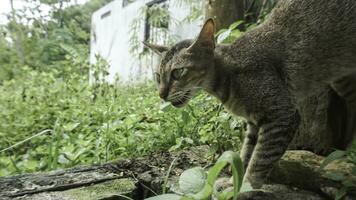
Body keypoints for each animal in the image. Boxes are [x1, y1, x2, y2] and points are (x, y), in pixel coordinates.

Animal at [143, 0, 356, 189]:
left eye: (178, 72)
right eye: (157, 76)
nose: (161, 94)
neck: (228, 76)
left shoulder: (282, 115)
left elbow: (259, 160)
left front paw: (246, 187)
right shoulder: (254, 124)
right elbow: (245, 155)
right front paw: (232, 183)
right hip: (342, 81)